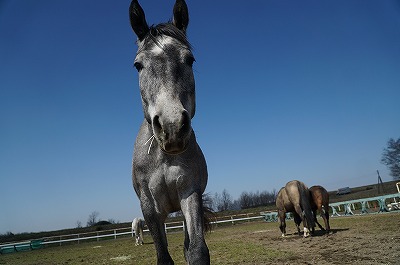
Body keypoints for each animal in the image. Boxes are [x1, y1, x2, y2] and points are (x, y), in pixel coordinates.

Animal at [129, 1, 211, 262]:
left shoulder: (190, 194)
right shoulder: (150, 209)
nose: (172, 126)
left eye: (190, 59)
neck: (164, 157)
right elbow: (163, 256)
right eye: (138, 65)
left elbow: (196, 251)